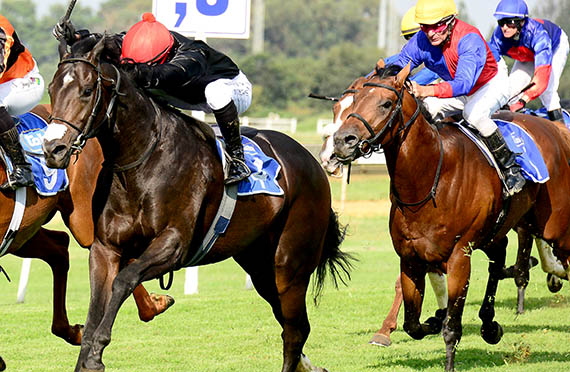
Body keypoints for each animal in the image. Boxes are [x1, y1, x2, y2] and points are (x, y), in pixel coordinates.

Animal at [41, 35, 350, 372]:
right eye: (52, 89)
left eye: (86, 90)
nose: (53, 149)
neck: (142, 159)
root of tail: (311, 160)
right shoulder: (105, 247)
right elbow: (97, 301)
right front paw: (87, 354)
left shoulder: (174, 244)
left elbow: (123, 281)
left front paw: (97, 350)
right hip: (259, 265)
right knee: (293, 325)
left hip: (290, 266)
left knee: (294, 331)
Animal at [328, 64, 568, 372]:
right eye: (350, 101)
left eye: (386, 103)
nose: (342, 142)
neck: (429, 178)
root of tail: (555, 129)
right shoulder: (410, 258)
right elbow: (412, 324)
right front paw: (432, 319)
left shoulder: (459, 256)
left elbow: (452, 327)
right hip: (501, 226)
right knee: (500, 255)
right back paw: (490, 323)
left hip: (550, 224)